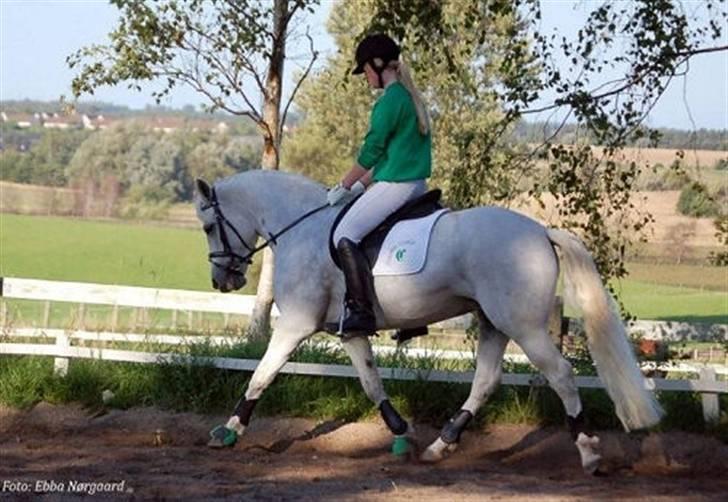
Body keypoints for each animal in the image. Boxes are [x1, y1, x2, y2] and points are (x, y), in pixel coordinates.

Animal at [196, 171, 664, 472]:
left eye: (207, 226)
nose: (222, 280)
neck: (300, 227)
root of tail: (540, 232)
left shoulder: (295, 323)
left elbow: (261, 374)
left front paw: (228, 430)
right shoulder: (349, 331)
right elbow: (371, 382)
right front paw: (401, 433)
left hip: (524, 326)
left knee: (562, 375)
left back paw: (588, 452)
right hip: (494, 322)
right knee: (486, 381)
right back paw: (441, 445)